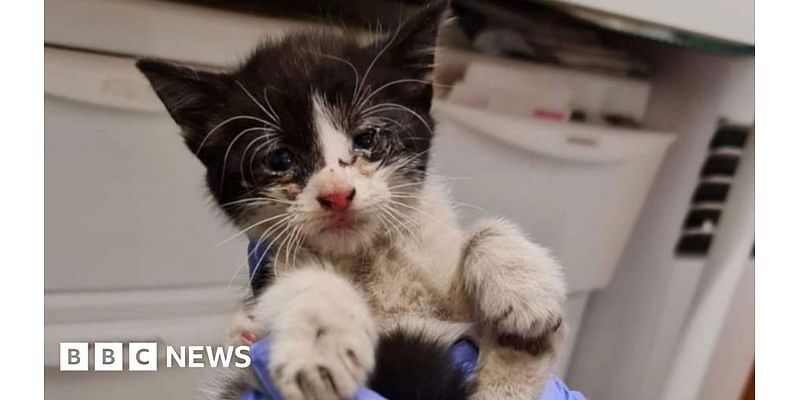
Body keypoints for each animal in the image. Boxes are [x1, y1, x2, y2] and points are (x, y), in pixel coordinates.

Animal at [138, 1, 564, 398]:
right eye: (279, 160)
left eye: (367, 138)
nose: (337, 194)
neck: (368, 259)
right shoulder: (272, 268)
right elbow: (299, 282)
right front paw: (322, 347)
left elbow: (482, 231)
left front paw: (524, 288)